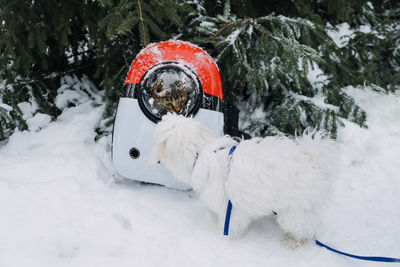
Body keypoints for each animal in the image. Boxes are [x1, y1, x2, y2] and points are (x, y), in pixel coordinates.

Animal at [150, 113, 332, 249]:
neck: (199, 152)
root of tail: (313, 161)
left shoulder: (231, 208)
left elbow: (230, 225)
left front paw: (221, 236)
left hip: (294, 209)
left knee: (306, 226)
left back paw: (295, 241)